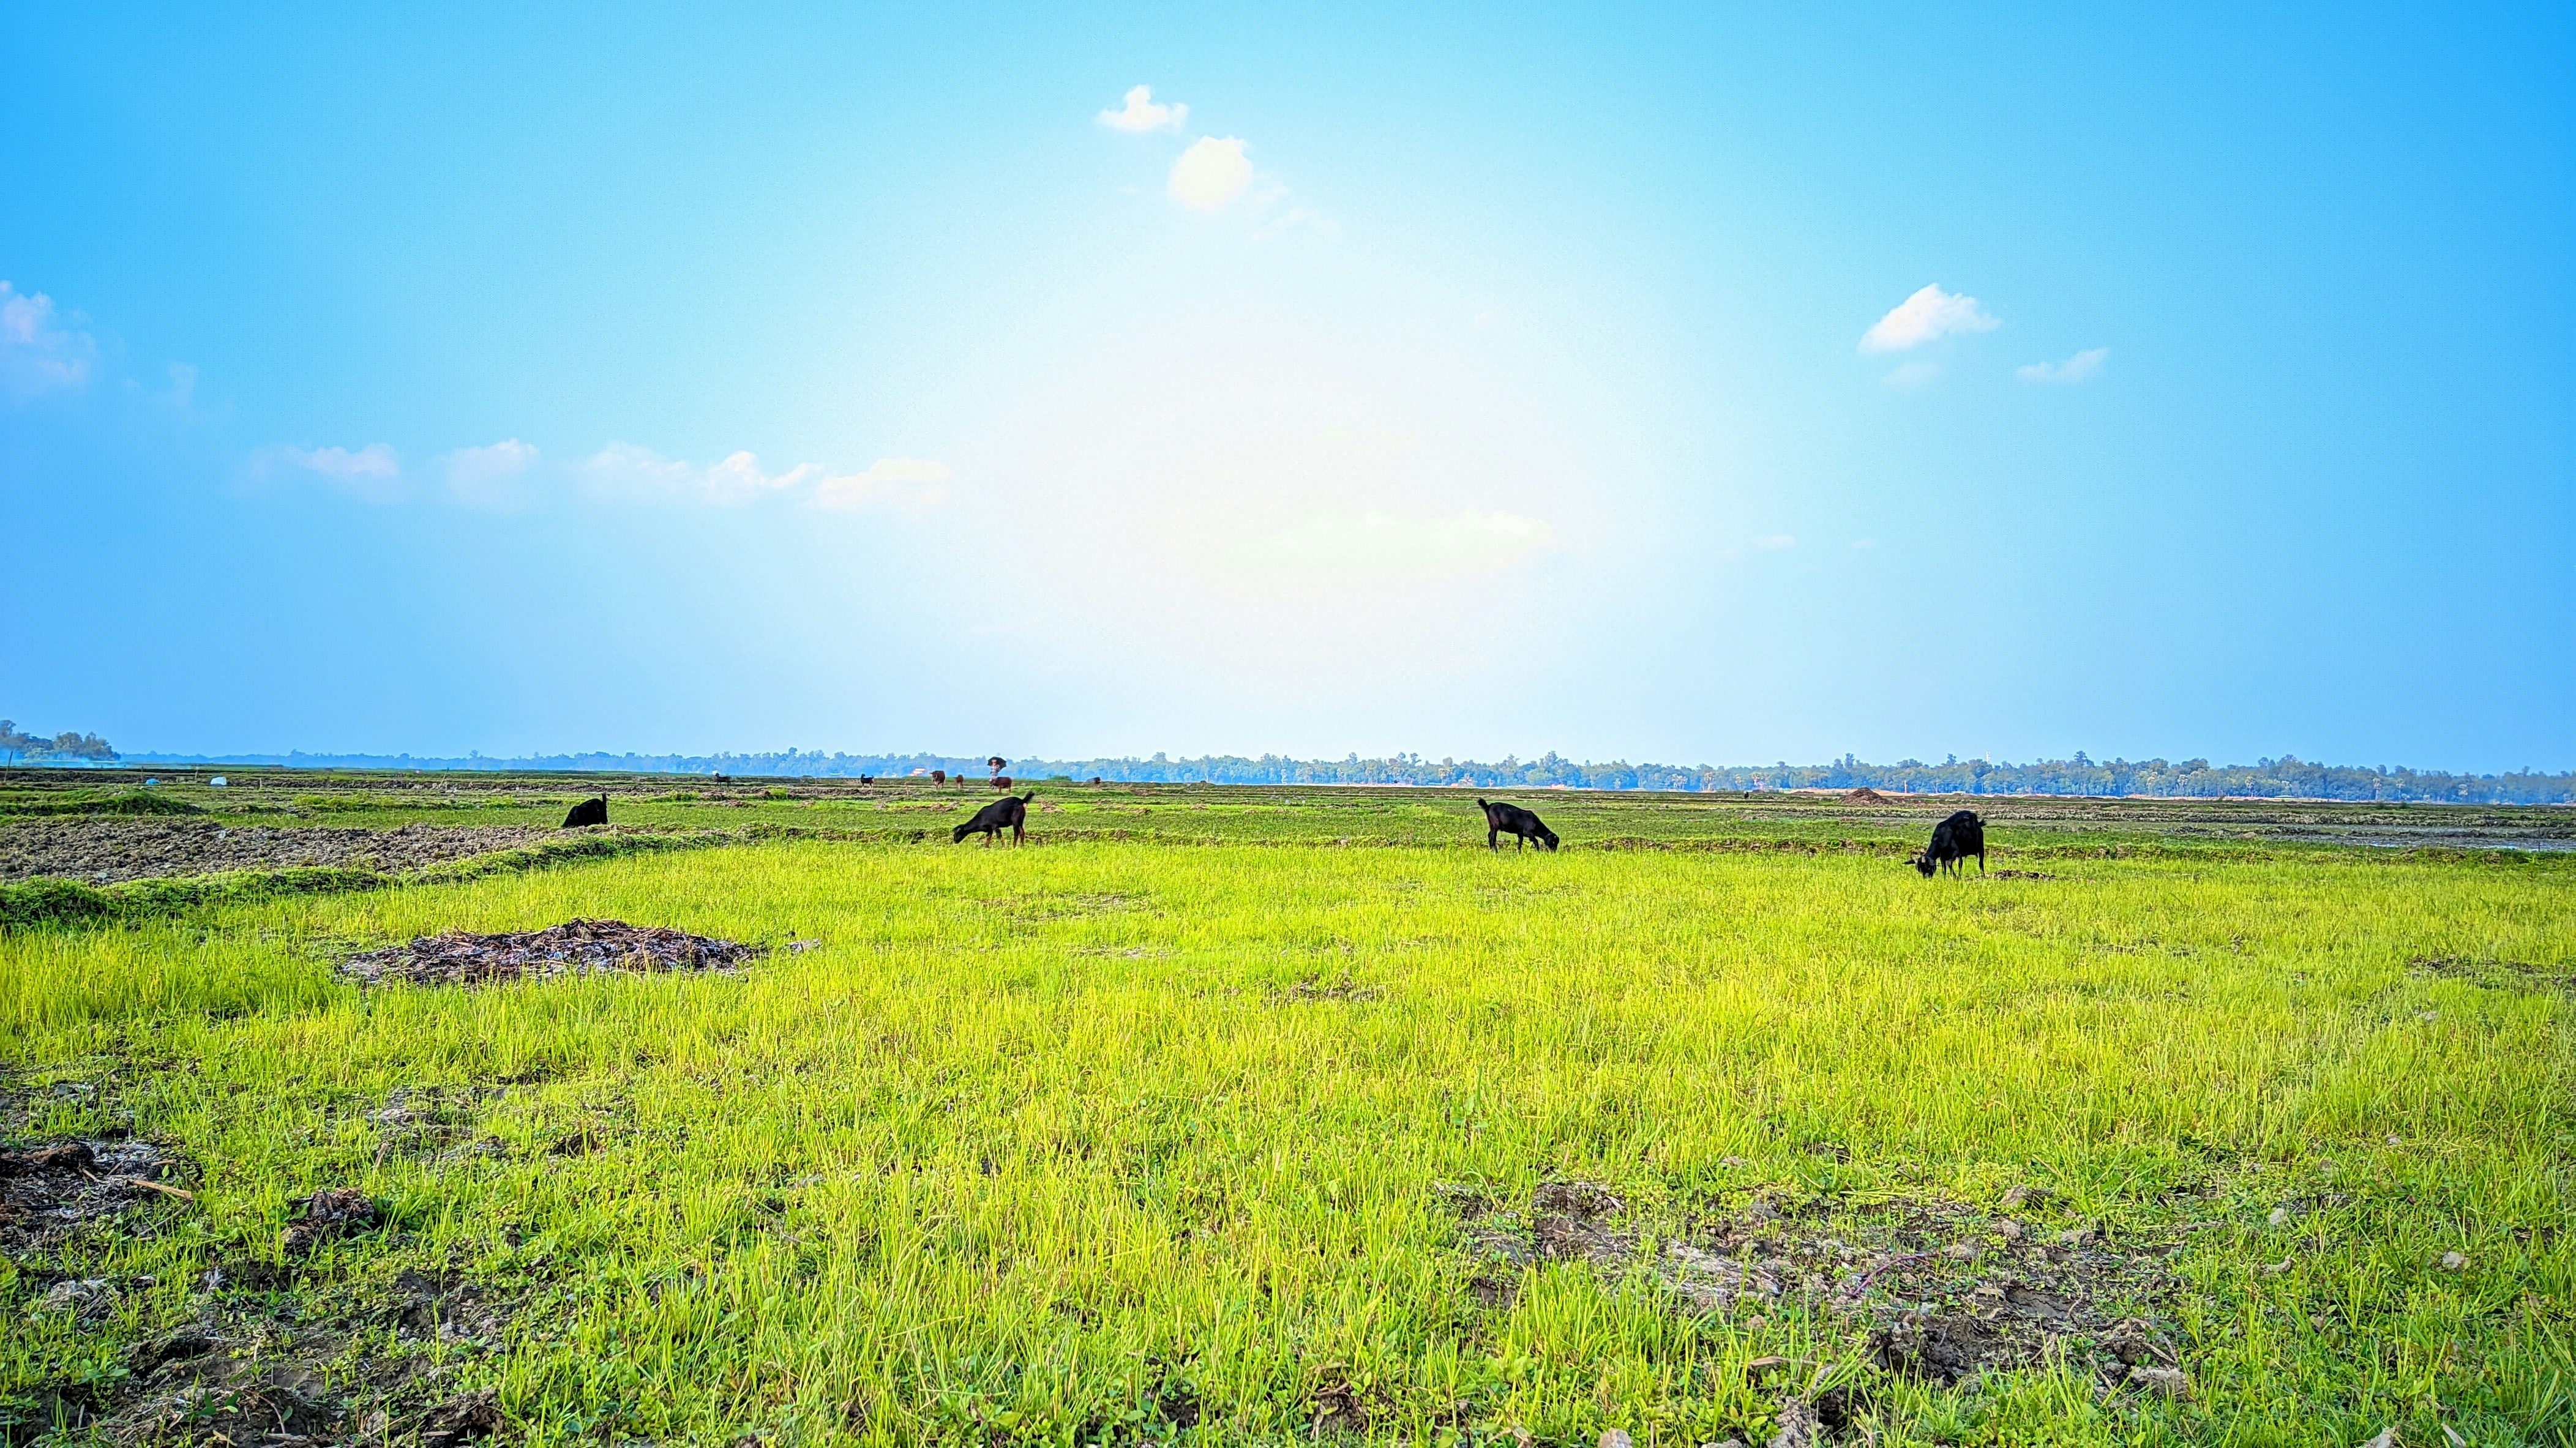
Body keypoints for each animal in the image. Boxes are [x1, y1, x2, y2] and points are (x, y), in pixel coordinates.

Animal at [953, 791, 1036, 846]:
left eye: (956, 834)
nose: (954, 841)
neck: (980, 820)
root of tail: (1022, 801)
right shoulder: (989, 829)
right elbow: (988, 837)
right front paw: (986, 848)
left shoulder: (995, 826)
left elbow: (999, 836)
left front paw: (1004, 847)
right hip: (1021, 821)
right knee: (1022, 832)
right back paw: (1022, 846)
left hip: (1015, 820)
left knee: (1016, 833)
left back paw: (1014, 846)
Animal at [1476, 798, 1559, 851]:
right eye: (1553, 842)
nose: (1554, 852)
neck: (1536, 824)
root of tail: (1489, 807)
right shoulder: (1528, 833)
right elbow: (1536, 841)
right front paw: (1538, 851)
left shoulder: (1520, 833)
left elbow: (1520, 842)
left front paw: (1519, 853)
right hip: (1495, 825)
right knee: (1493, 838)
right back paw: (1496, 852)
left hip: (1492, 825)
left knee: (1489, 835)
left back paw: (1491, 850)